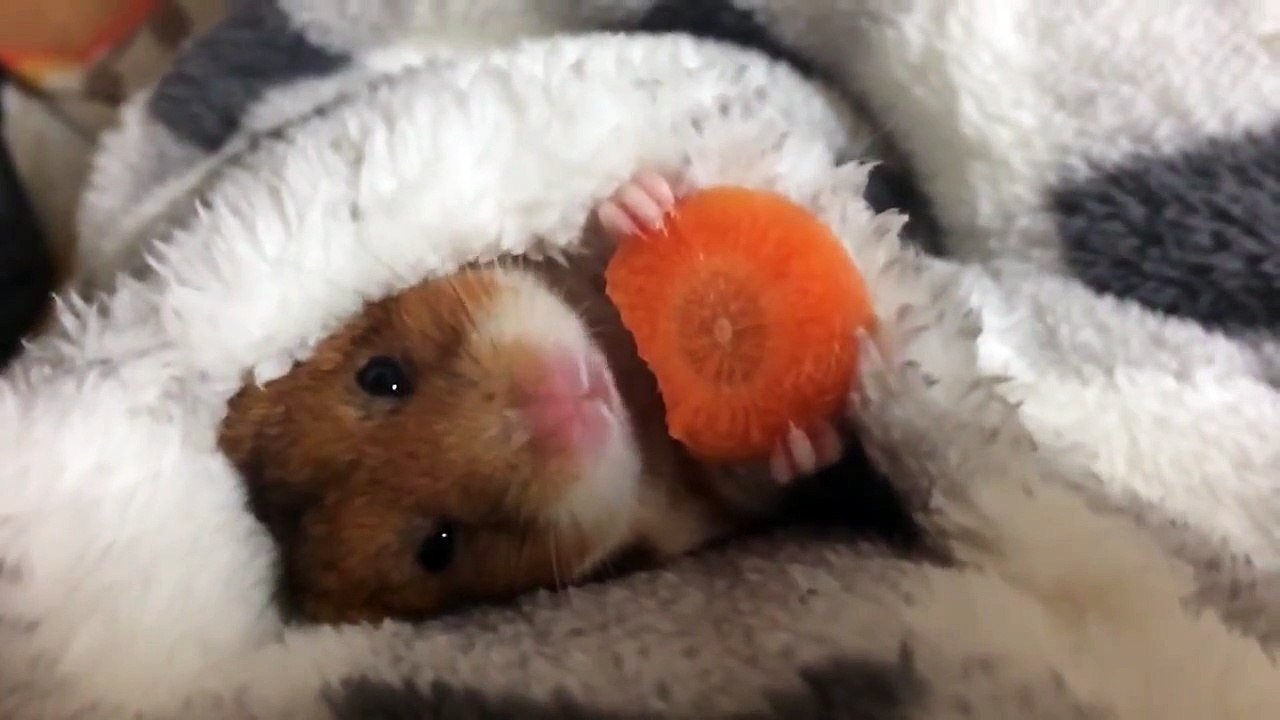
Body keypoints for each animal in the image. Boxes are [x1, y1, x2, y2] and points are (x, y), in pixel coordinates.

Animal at [217, 171, 847, 624]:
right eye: (438, 546)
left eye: (380, 376)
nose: (563, 401)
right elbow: (757, 478)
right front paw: (800, 441)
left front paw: (642, 207)